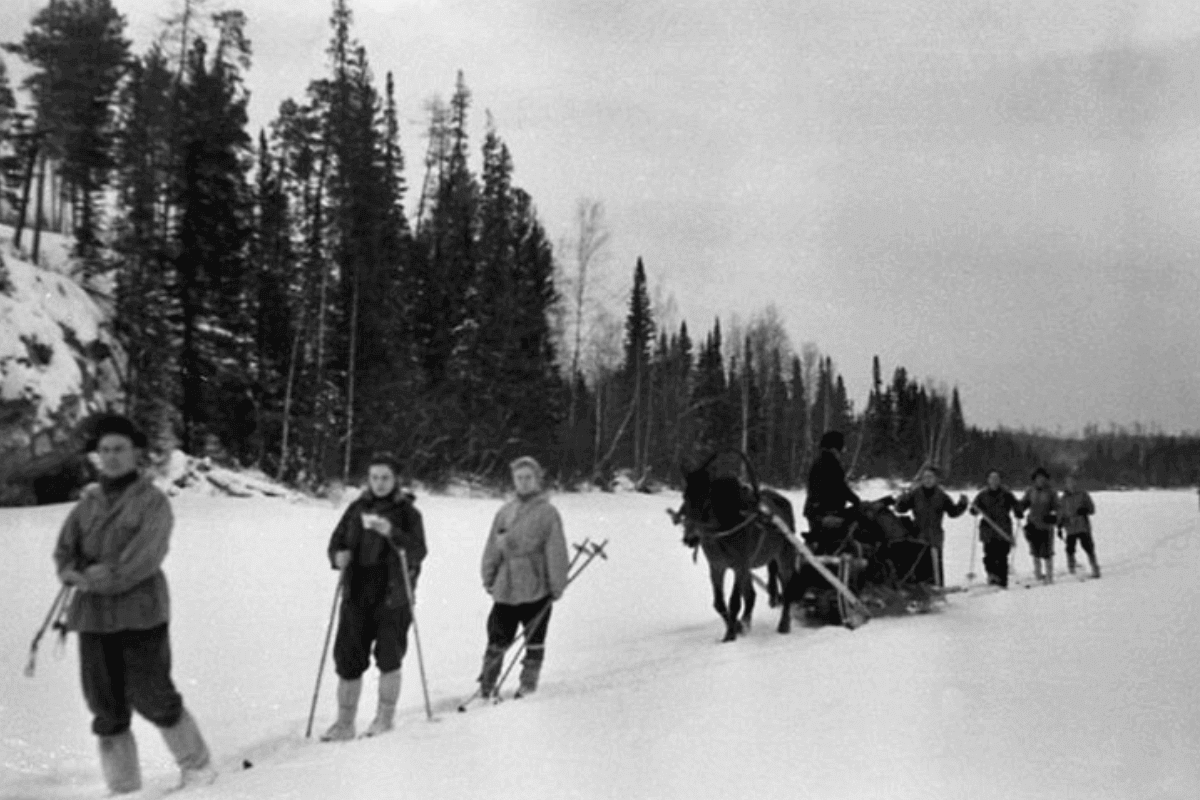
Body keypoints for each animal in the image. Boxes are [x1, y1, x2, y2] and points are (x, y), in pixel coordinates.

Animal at [676, 455, 796, 642]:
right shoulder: (717, 566)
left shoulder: (739, 565)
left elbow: (734, 602)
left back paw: (784, 625)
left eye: (707, 502)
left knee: (788, 588)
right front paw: (736, 627)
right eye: (684, 498)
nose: (690, 538)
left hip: (784, 556)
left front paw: (730, 635)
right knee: (752, 596)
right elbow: (719, 603)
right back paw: (746, 623)